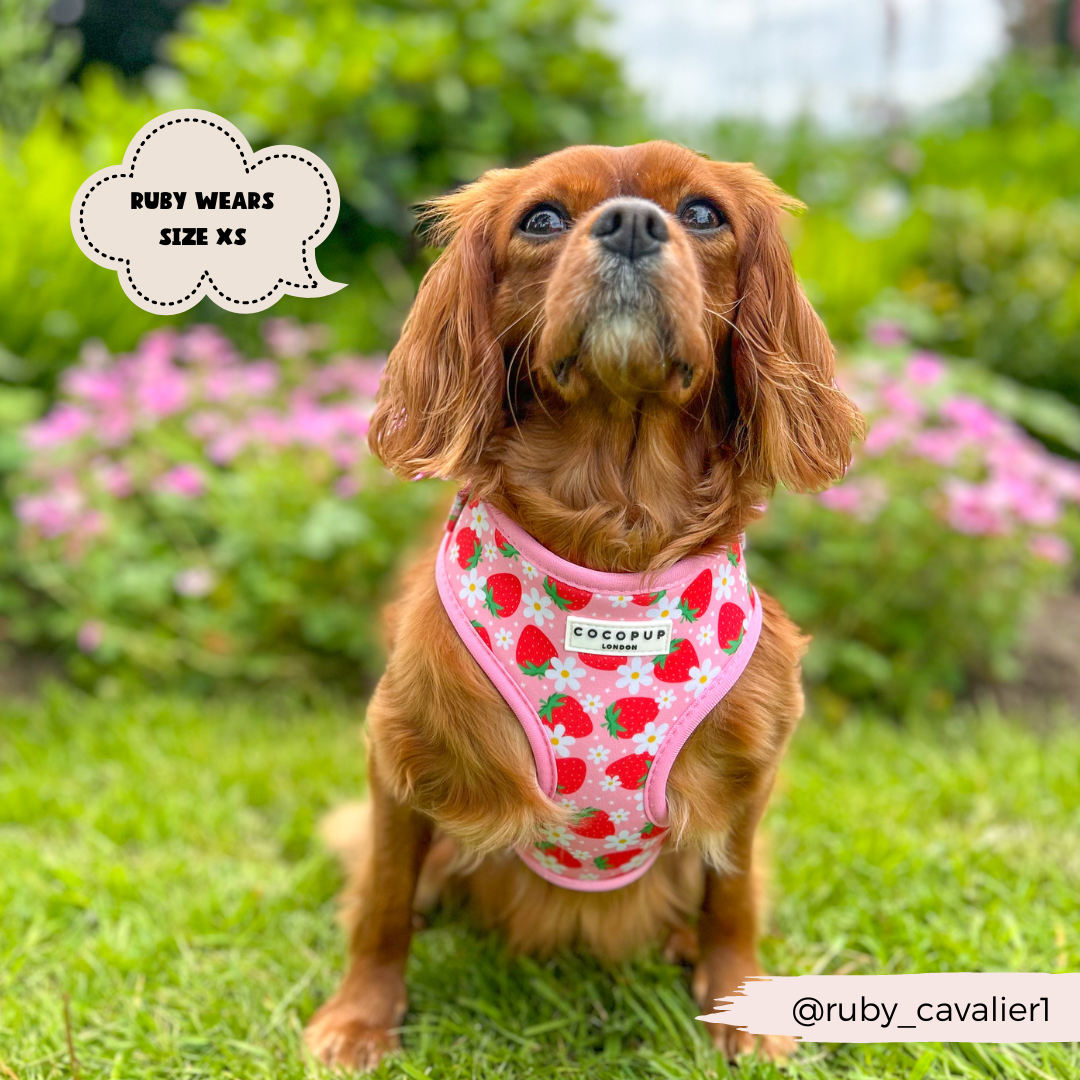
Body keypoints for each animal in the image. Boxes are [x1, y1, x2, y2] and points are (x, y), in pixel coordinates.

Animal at [302, 139, 859, 1067]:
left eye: (702, 212)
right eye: (541, 218)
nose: (633, 223)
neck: (614, 532)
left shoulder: (749, 774)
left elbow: (734, 897)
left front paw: (740, 1005)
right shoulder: (399, 756)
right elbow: (381, 904)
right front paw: (359, 1020)